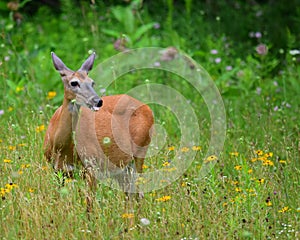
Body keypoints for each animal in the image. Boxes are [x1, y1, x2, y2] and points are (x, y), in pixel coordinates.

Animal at [44, 52, 155, 214]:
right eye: (74, 83)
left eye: (92, 82)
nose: (98, 101)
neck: (60, 146)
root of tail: (148, 108)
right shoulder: (58, 171)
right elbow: (58, 201)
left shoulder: (92, 167)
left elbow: (89, 205)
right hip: (122, 167)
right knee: (129, 193)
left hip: (140, 152)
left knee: (138, 193)